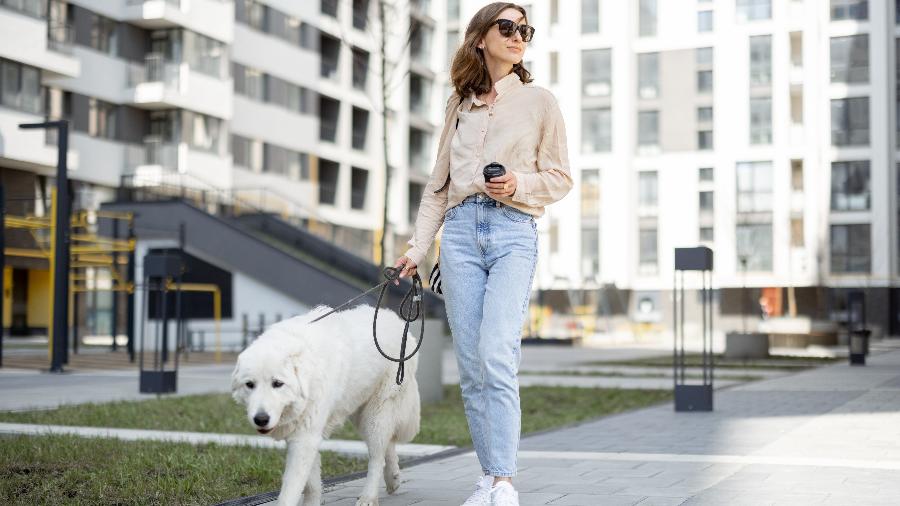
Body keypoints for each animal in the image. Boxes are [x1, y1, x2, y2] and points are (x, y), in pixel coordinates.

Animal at [232, 304, 422, 506]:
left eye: (277, 383)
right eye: (249, 385)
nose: (260, 419)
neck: (307, 376)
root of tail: (395, 319)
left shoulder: (304, 439)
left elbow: (290, 491)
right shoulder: (307, 435)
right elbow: (311, 484)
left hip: (375, 415)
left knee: (377, 458)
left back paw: (368, 497)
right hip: (360, 414)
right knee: (388, 444)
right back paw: (393, 479)